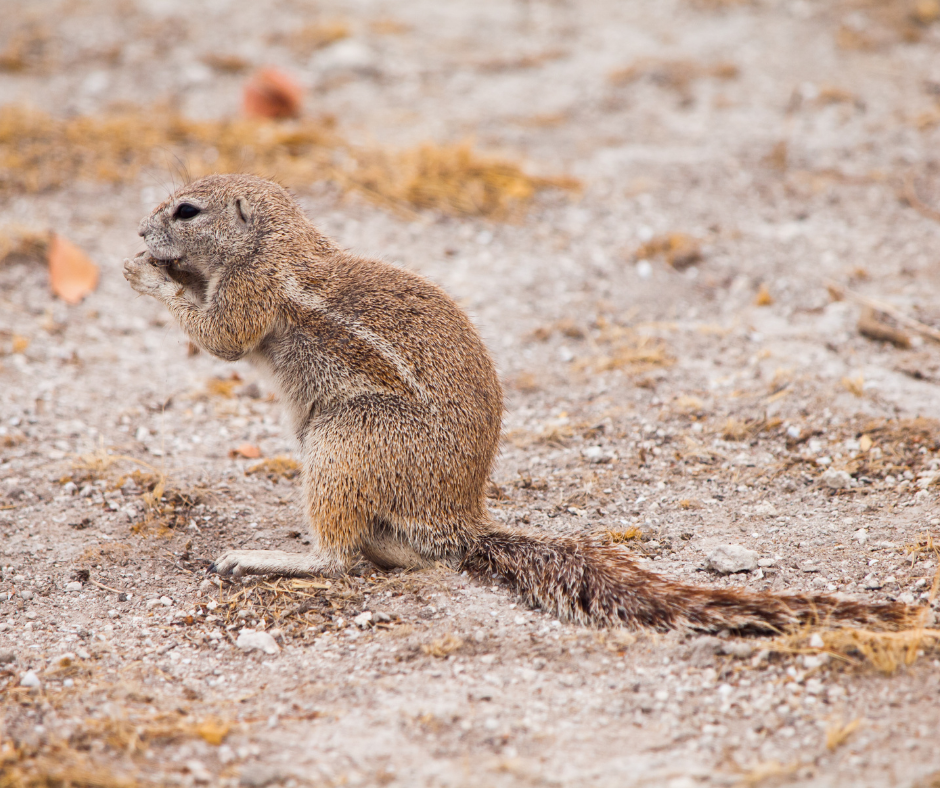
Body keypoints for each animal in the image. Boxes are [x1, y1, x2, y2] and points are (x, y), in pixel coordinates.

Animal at [123, 174, 912, 636]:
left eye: (186, 210)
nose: (138, 232)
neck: (273, 239)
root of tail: (461, 521)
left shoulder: (251, 292)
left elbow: (220, 337)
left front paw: (146, 277)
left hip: (347, 440)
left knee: (341, 560)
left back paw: (267, 558)